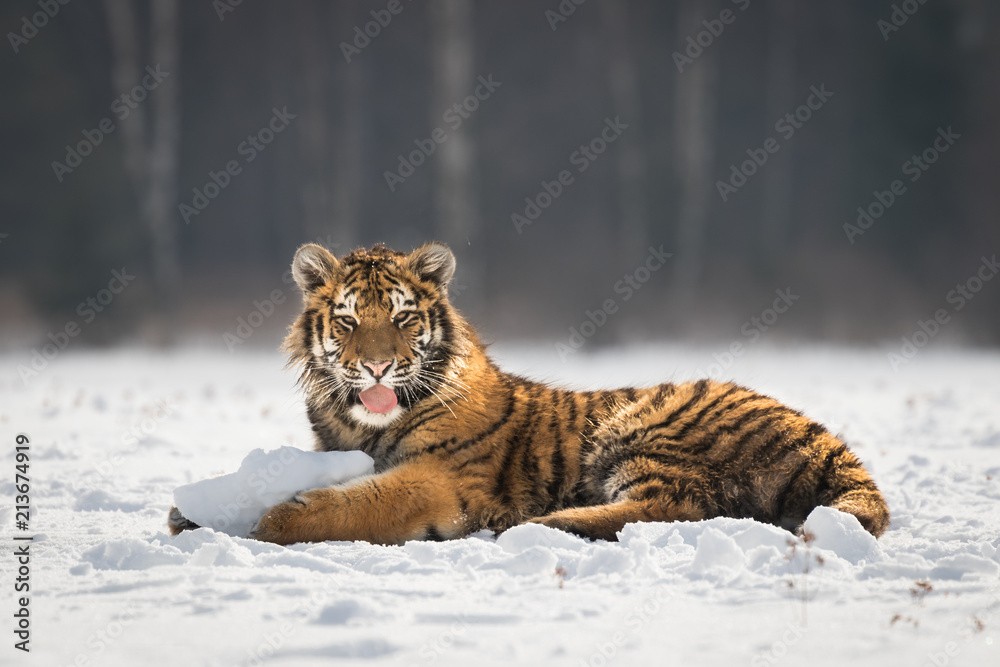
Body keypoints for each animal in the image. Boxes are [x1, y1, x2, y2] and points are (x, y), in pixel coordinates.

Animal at [168, 242, 889, 545]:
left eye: (402, 318)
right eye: (347, 320)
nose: (375, 367)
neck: (361, 424)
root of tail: (832, 444)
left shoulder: (443, 478)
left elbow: (357, 502)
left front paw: (274, 521)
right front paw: (193, 514)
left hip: (651, 422)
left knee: (675, 507)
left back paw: (541, 524)